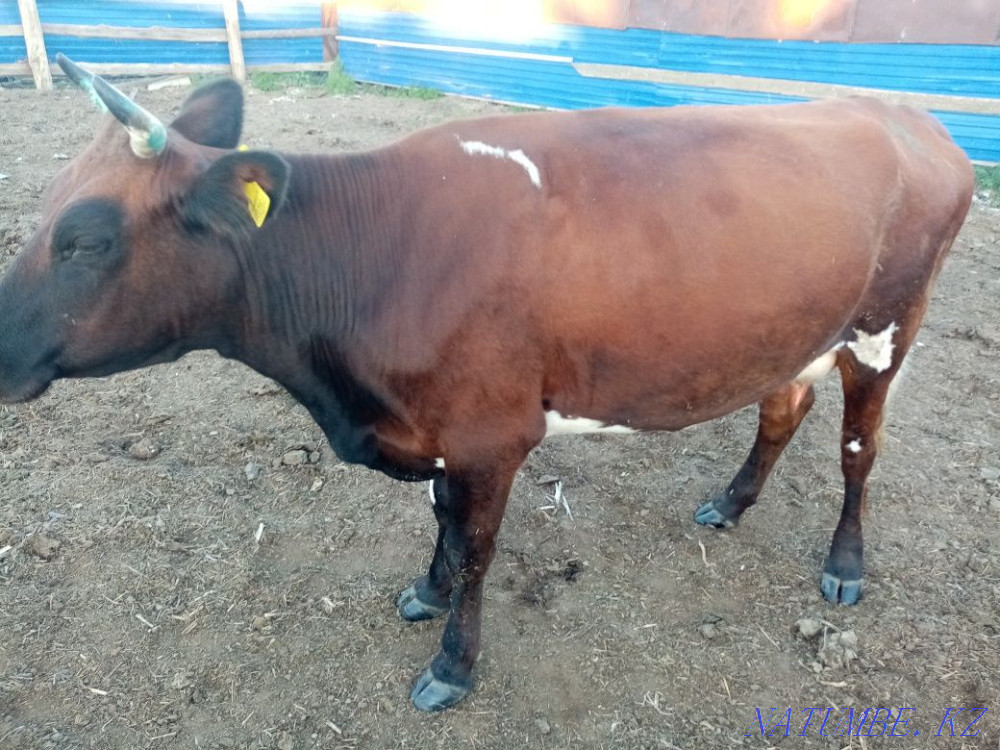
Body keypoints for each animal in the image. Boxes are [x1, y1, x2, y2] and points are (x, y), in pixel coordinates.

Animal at [0, 55, 973, 712]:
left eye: (85, 238)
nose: (0, 352)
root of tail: (907, 115)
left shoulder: (491, 433)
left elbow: (475, 547)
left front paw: (452, 665)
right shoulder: (437, 429)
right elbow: (440, 521)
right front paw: (425, 592)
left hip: (888, 326)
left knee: (859, 447)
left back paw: (844, 565)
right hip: (795, 331)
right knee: (782, 406)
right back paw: (729, 503)